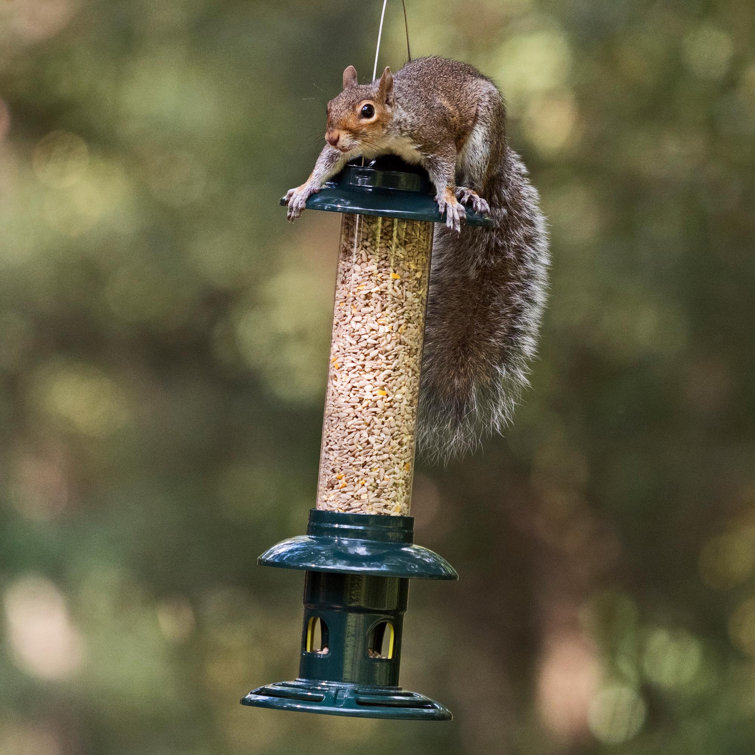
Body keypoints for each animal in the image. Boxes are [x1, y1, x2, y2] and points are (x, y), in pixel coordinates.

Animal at [284, 56, 549, 461]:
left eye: (367, 110)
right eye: (330, 105)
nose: (331, 136)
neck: (388, 133)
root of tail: (503, 153)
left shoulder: (435, 138)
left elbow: (444, 172)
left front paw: (450, 199)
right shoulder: (341, 152)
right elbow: (325, 165)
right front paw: (303, 189)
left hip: (484, 141)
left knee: (475, 176)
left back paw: (469, 195)